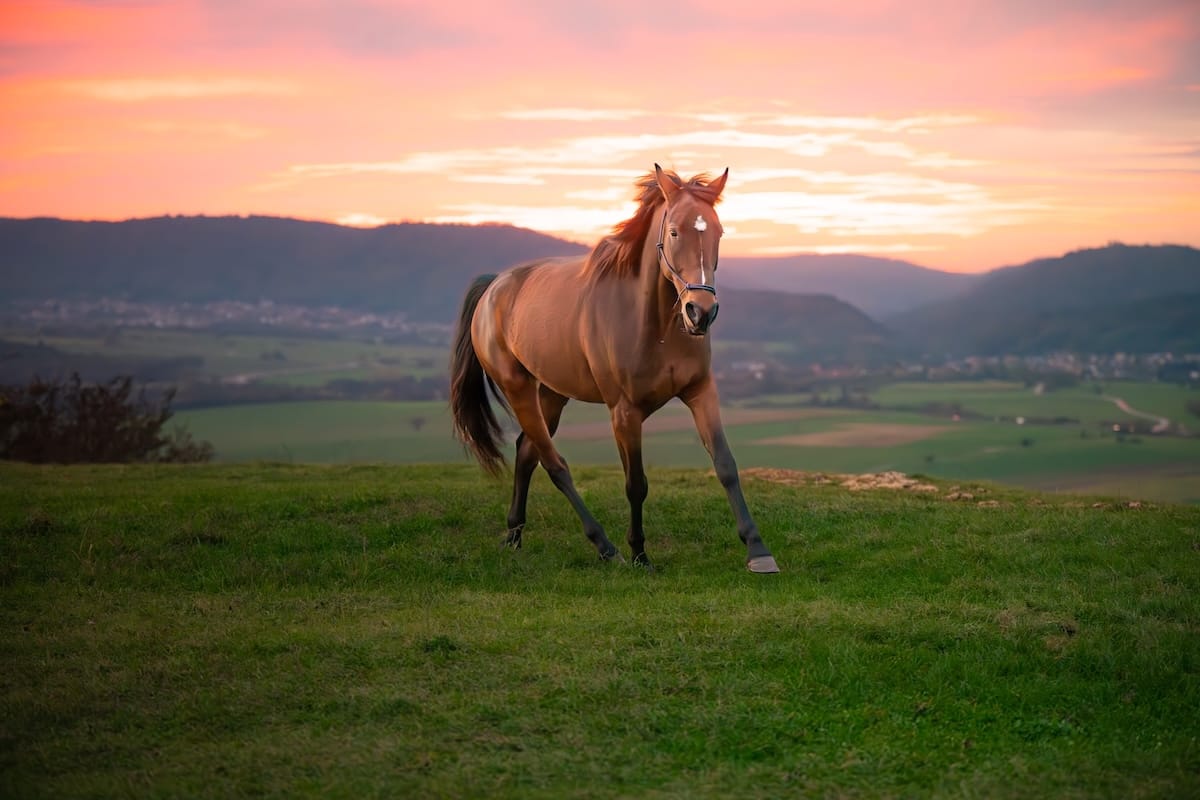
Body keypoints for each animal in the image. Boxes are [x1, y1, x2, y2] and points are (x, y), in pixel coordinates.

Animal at [449, 164, 778, 573]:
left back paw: (514, 535)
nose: (700, 312)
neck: (655, 325)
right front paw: (639, 554)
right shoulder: (624, 412)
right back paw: (605, 547)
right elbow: (636, 483)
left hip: (552, 393)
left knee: (527, 452)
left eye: (718, 232)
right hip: (518, 388)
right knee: (554, 463)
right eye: (673, 232)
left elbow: (726, 465)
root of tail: (494, 285)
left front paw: (758, 550)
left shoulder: (701, 392)